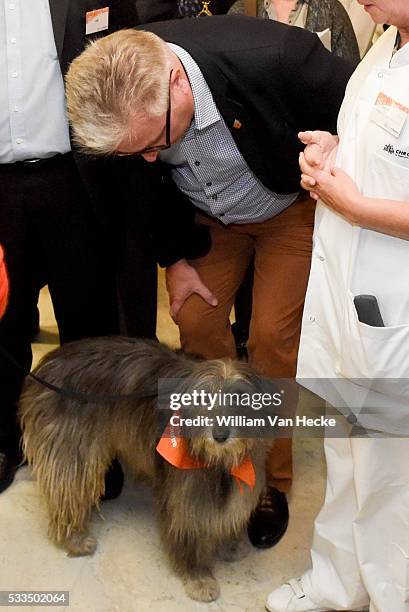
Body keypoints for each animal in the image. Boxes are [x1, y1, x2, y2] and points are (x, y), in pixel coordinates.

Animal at [20, 340, 272, 604]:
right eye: (204, 399)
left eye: (240, 399)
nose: (220, 435)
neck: (218, 461)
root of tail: (46, 365)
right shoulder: (182, 493)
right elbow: (189, 531)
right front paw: (198, 577)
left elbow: (230, 512)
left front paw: (231, 543)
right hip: (73, 454)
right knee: (66, 495)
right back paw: (73, 539)